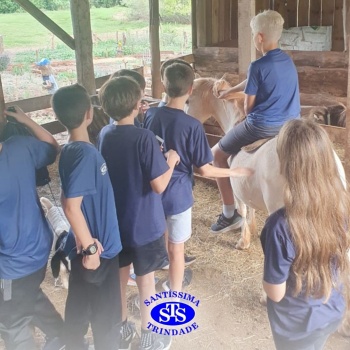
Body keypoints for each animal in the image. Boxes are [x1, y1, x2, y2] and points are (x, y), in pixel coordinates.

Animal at [185, 78, 346, 250]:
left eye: (187, 101)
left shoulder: (235, 184)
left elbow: (242, 208)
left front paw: (243, 240)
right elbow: (250, 207)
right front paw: (252, 229)